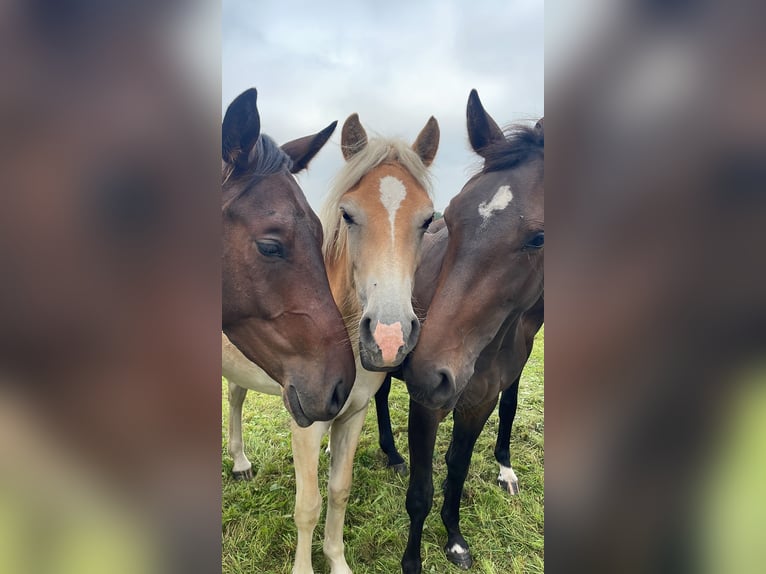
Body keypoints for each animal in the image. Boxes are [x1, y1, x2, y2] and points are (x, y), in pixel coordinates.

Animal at [396, 90, 544, 572]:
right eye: (453, 215)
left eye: (539, 238)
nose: (427, 372)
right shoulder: (427, 407)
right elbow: (419, 493)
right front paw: (412, 562)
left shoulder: (480, 403)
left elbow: (456, 472)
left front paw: (455, 540)